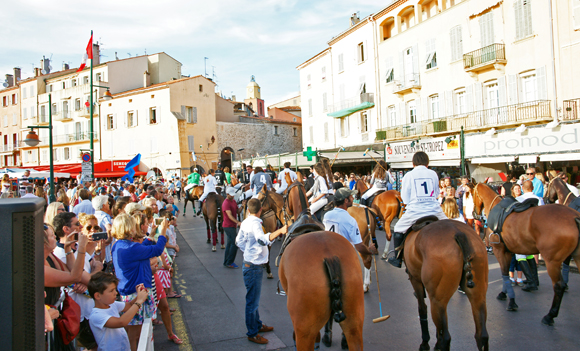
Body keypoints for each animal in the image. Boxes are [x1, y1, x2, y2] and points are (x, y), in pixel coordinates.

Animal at [404, 220, 490, 351]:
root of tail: (459, 233)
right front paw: (435, 343)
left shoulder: (415, 279)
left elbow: (422, 309)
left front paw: (425, 343)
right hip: (478, 294)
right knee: (482, 335)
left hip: (437, 300)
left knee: (446, 337)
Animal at [472, 183, 580, 326]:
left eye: (473, 193)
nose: (474, 213)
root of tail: (574, 217)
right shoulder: (509, 251)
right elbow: (507, 274)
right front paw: (504, 293)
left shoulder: (499, 250)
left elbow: (504, 273)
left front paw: (511, 301)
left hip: (552, 261)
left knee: (559, 285)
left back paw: (550, 315)